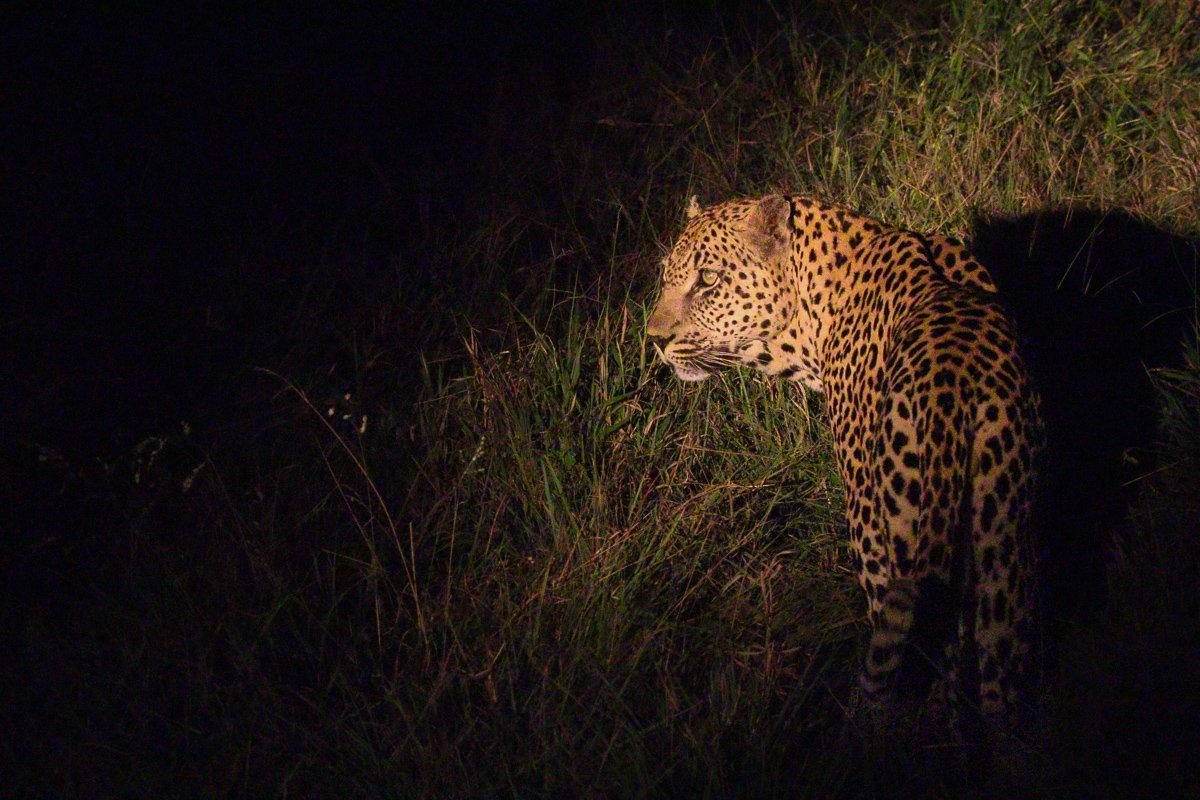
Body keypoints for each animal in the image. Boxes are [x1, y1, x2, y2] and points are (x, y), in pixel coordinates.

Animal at [646, 194, 1043, 724]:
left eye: (708, 278)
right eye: (667, 274)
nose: (654, 338)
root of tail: (954, 390)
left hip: (888, 526)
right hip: (1003, 536)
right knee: (998, 668)